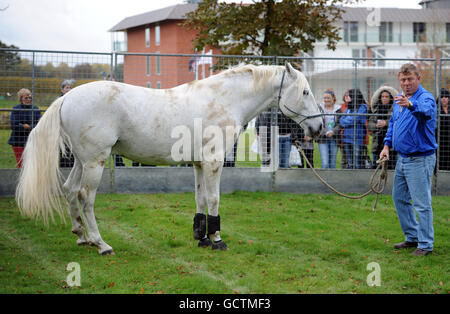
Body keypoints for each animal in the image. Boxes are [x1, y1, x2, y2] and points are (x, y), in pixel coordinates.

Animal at [14, 62, 324, 254]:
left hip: (81, 161)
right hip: (94, 162)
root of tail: (67, 98)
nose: (319, 128)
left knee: (69, 191)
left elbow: (200, 199)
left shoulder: (199, 163)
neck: (224, 100)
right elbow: (214, 199)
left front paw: (202, 238)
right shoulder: (214, 162)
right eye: (305, 92)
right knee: (85, 197)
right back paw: (102, 244)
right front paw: (217, 240)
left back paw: (81, 236)